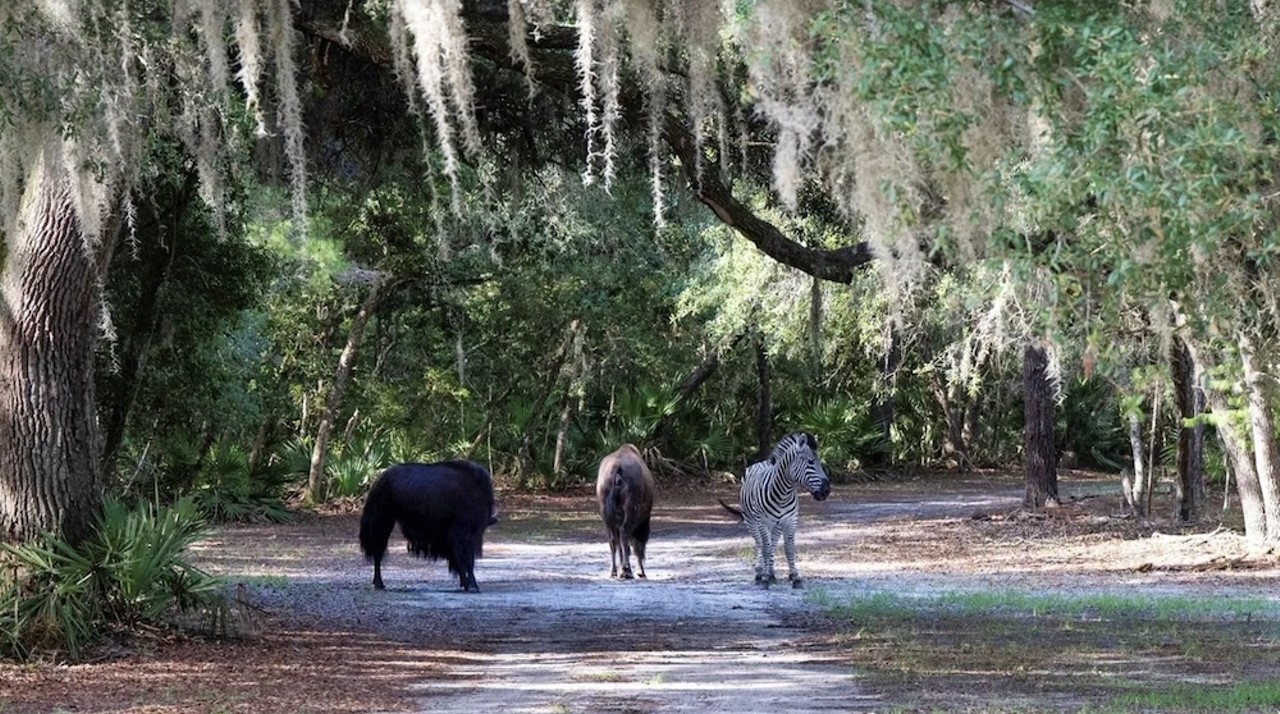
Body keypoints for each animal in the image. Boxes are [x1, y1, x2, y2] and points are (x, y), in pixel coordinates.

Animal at [721, 435, 829, 591]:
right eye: (810, 462)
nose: (827, 491)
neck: (783, 494)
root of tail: (762, 462)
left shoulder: (790, 521)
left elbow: (789, 548)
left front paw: (795, 577)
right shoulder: (763, 522)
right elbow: (766, 548)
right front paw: (765, 578)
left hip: (776, 525)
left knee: (772, 544)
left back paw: (771, 573)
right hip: (751, 522)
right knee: (761, 544)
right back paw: (760, 573)